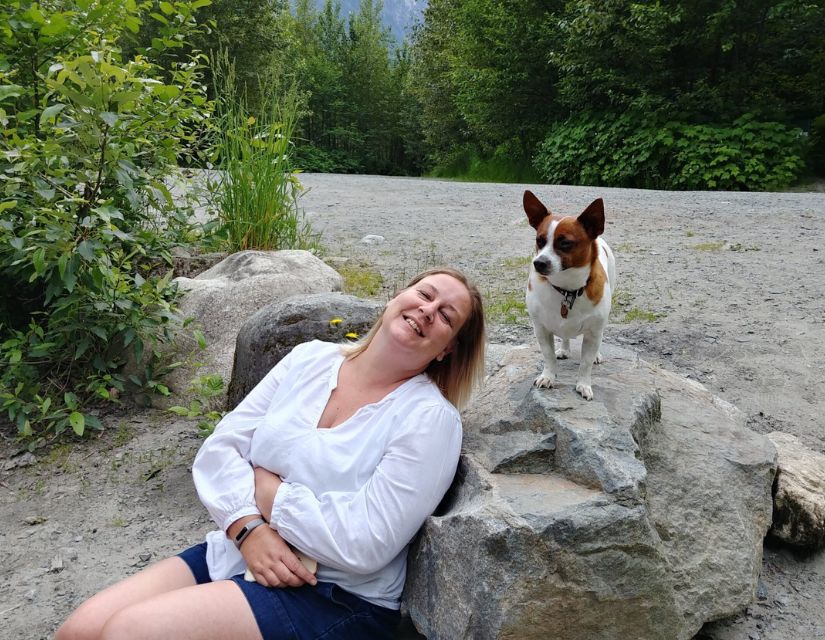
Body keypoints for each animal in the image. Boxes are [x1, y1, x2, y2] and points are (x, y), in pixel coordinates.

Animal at [524, 190, 616, 400]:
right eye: (539, 241)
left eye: (565, 243)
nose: (538, 262)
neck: (567, 289)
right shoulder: (541, 329)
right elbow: (548, 356)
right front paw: (548, 376)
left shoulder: (593, 333)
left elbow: (586, 363)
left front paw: (583, 385)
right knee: (564, 336)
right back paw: (564, 349)